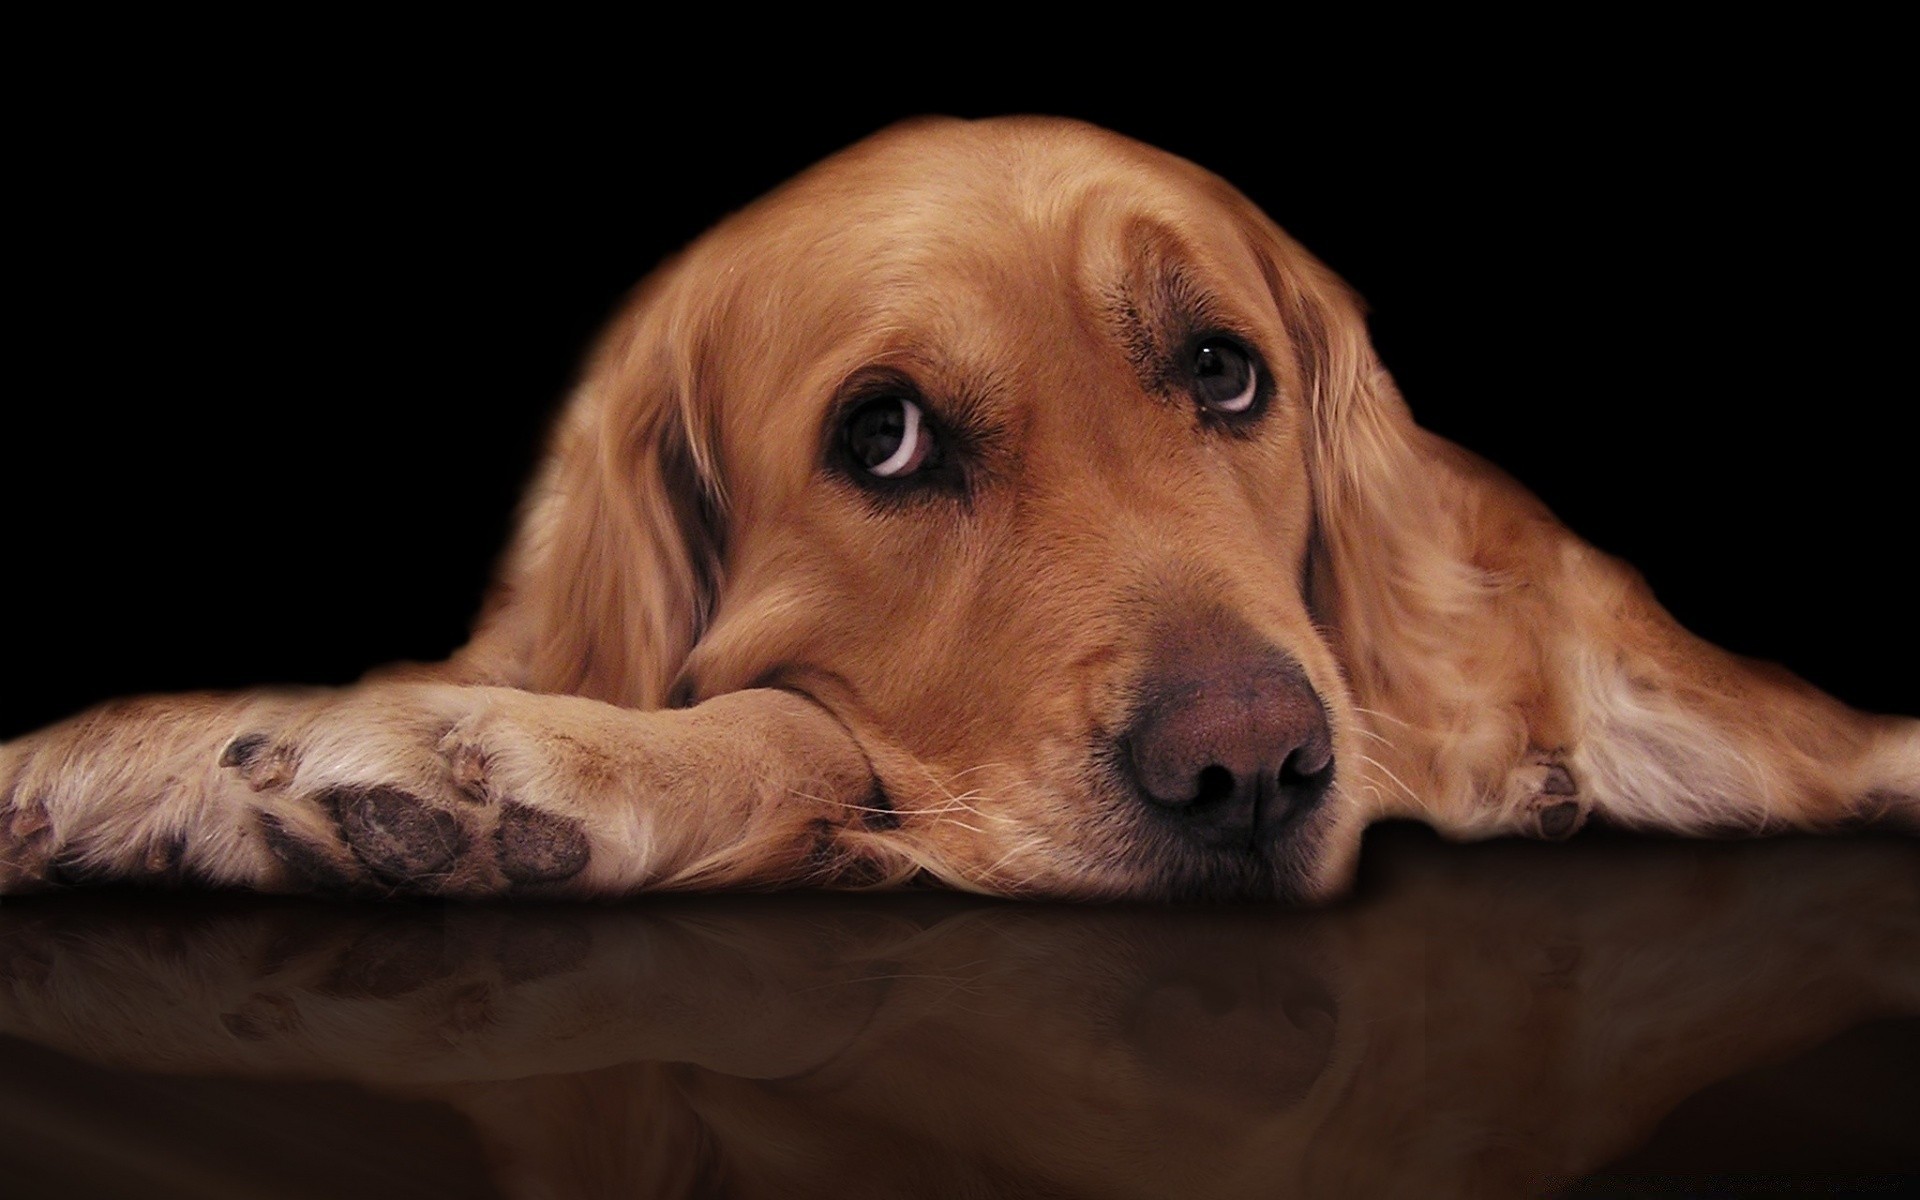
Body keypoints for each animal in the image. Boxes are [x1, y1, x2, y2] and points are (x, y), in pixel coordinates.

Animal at [0, 114, 1912, 898]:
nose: (1253, 769)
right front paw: (140, 767)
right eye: (887, 437)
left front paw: (513, 771)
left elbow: (789, 725)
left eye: (1225, 374)